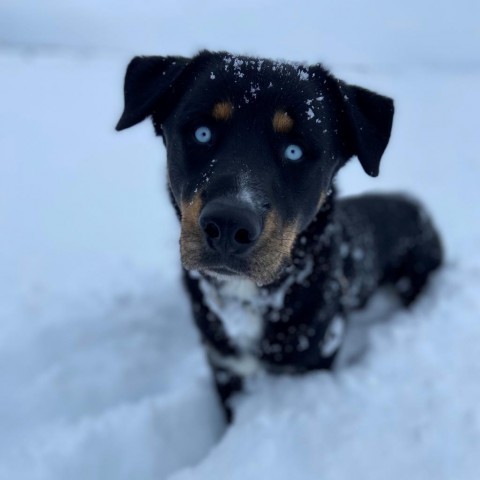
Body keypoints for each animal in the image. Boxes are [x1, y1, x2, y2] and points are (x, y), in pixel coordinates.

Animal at [115, 50, 442, 422]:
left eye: (295, 151)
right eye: (202, 133)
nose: (229, 225)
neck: (256, 299)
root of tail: (416, 205)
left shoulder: (313, 361)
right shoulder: (224, 365)